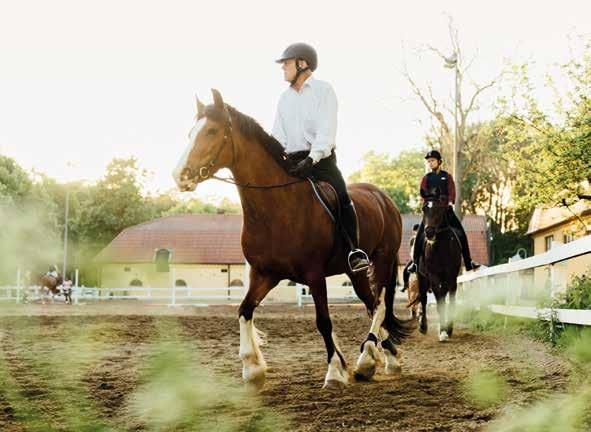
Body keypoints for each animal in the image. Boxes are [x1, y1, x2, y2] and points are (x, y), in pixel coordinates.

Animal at [173, 89, 414, 390]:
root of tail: (384, 198)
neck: (277, 208)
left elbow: (323, 321)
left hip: (381, 260)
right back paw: (385, 359)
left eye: (212, 131)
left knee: (379, 305)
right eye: (190, 133)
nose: (180, 176)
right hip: (354, 272)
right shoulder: (264, 274)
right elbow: (243, 310)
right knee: (372, 305)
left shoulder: (314, 275)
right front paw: (252, 369)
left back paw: (367, 358)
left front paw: (334, 371)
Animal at [416, 192, 462, 340]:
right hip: (422, 278)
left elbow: (451, 300)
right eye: (424, 209)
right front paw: (442, 330)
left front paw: (449, 329)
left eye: (440, 209)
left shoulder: (452, 277)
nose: (429, 232)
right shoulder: (434, 277)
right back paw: (423, 326)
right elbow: (439, 301)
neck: (441, 249)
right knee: (424, 299)